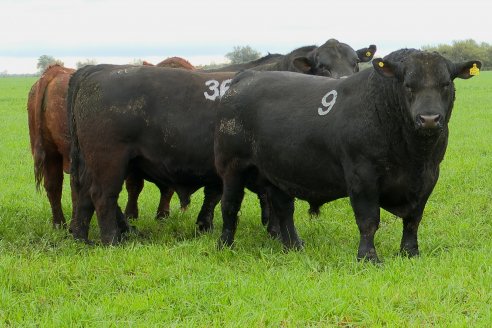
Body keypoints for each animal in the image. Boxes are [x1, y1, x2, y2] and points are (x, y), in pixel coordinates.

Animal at [215, 48, 480, 262]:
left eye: (446, 84)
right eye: (408, 85)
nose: (429, 119)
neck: (412, 155)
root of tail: (245, 77)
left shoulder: (429, 175)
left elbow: (414, 219)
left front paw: (410, 252)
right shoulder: (362, 175)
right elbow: (368, 220)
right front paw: (368, 258)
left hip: (277, 170)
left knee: (283, 209)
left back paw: (294, 246)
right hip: (231, 166)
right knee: (230, 206)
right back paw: (225, 246)